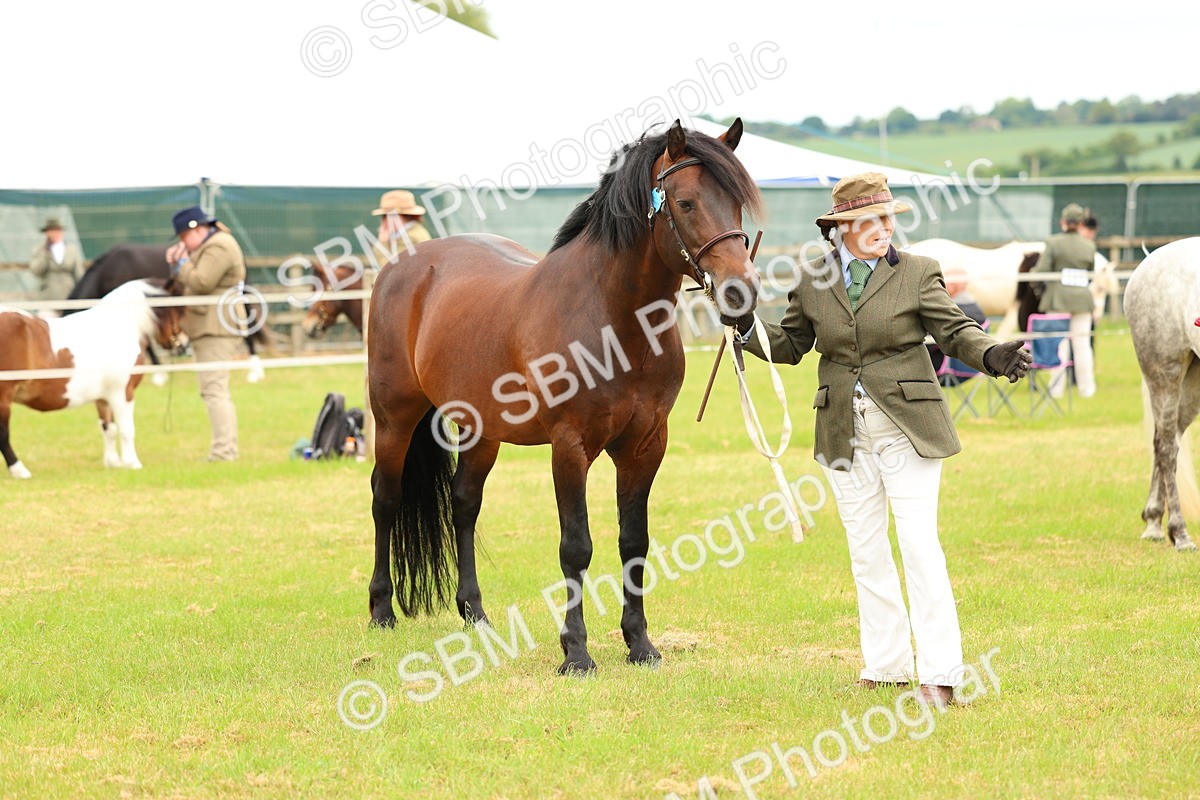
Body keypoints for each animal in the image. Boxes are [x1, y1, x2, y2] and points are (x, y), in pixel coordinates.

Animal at [0, 279, 184, 479]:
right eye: (176, 308)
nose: (180, 346)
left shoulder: (103, 398)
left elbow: (109, 429)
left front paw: (113, 463)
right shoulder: (123, 394)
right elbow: (127, 429)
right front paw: (132, 463)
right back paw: (19, 470)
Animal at [365, 119, 762, 674]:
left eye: (738, 204)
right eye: (685, 203)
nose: (740, 294)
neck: (615, 320)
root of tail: (405, 265)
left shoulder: (645, 446)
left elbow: (634, 541)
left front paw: (640, 644)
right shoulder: (570, 446)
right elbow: (576, 547)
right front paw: (576, 652)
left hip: (481, 430)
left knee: (464, 505)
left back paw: (476, 615)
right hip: (393, 419)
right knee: (386, 499)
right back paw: (382, 610)